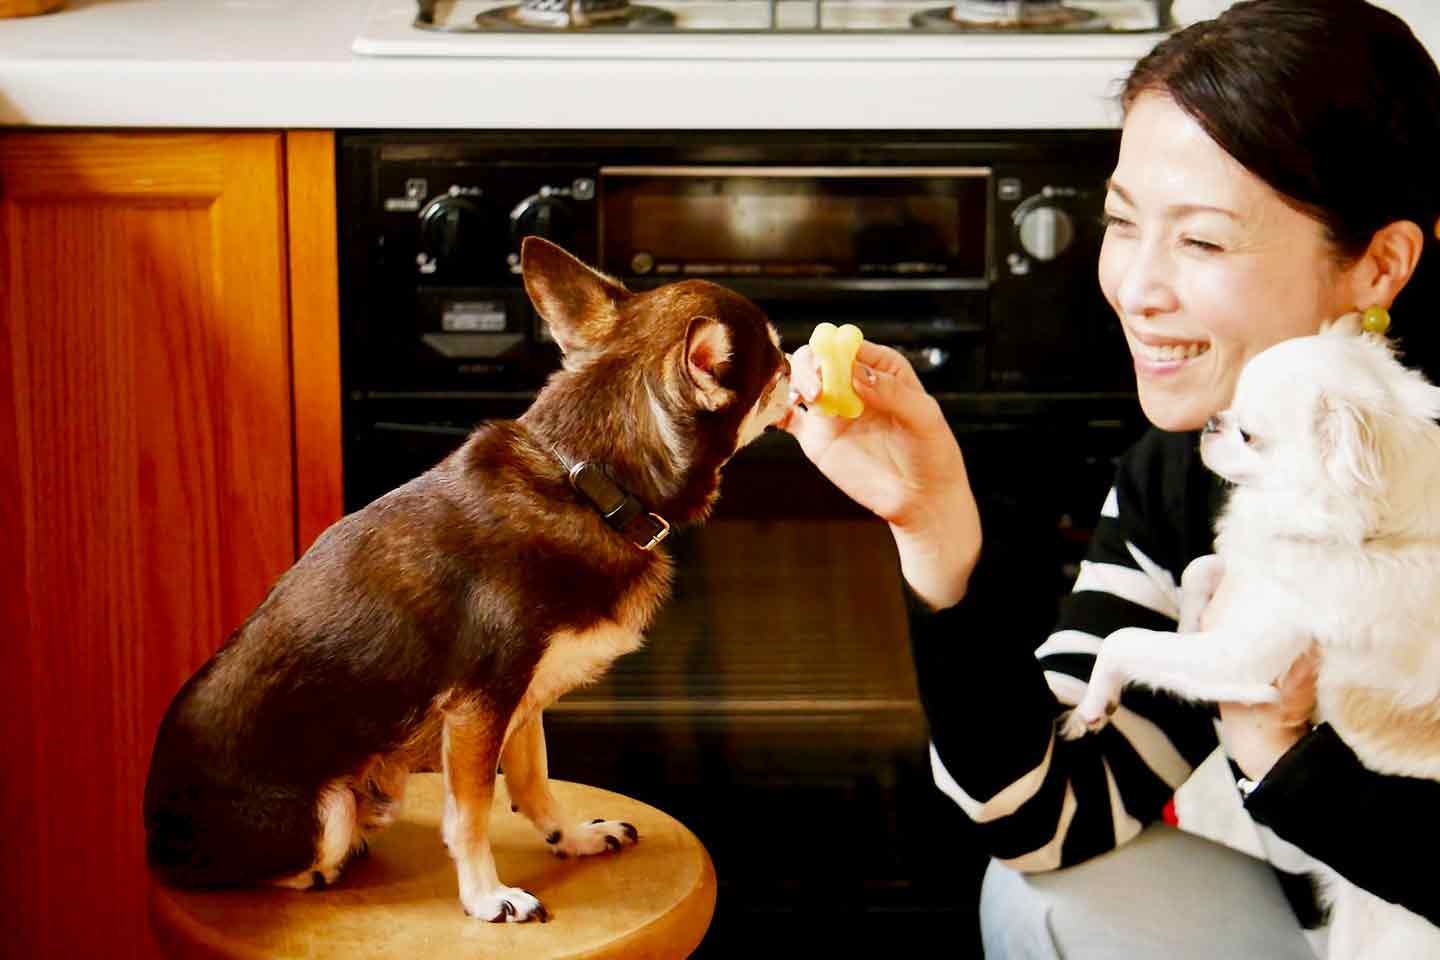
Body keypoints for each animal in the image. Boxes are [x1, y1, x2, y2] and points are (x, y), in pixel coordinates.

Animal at [141, 234, 794, 921]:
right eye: (774, 365)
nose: (799, 361)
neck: (590, 482)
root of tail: (153, 833)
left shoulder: (523, 698)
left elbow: (533, 779)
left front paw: (573, 838)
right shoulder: (480, 707)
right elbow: (471, 813)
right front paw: (487, 896)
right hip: (326, 811)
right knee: (286, 860)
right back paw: (330, 865)